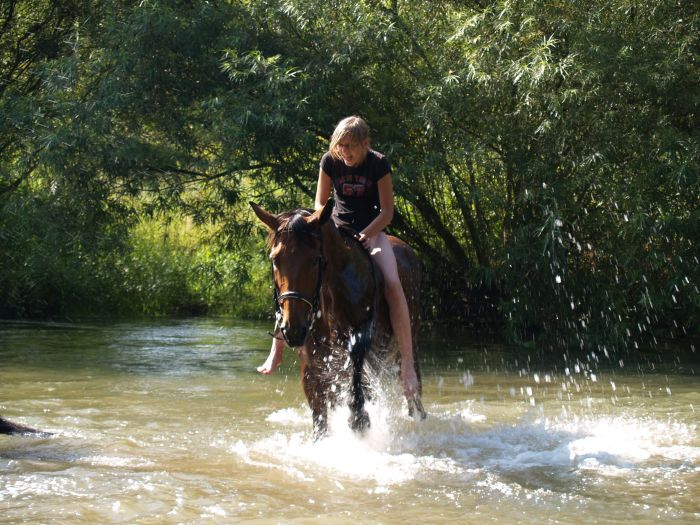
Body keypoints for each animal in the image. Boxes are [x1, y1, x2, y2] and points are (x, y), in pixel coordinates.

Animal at [252, 199, 426, 436]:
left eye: (315, 260)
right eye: (275, 259)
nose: (294, 329)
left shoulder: (359, 349)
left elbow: (358, 409)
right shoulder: (313, 368)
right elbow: (320, 420)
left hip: (408, 336)